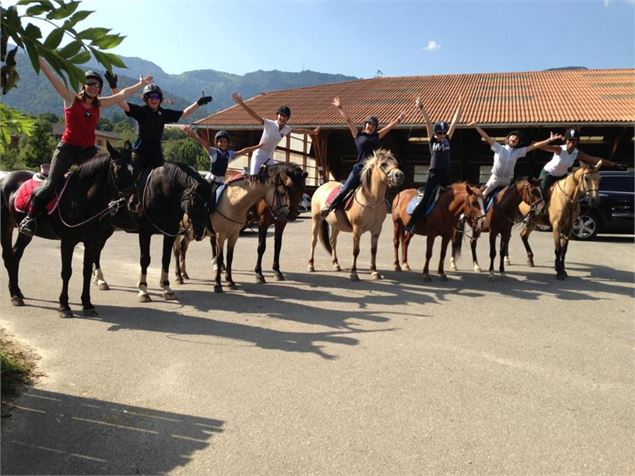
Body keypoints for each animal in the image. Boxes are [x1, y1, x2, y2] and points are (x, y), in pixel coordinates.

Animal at [0, 142, 135, 320]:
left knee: (16, 255)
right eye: (119, 169)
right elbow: (66, 272)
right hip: (5, 227)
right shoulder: (68, 242)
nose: (132, 202)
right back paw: (14, 296)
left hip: (24, 233)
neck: (81, 198)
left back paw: (18, 292)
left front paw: (87, 304)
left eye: (134, 169)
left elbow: (86, 271)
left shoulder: (90, 242)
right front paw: (64, 306)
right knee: (9, 257)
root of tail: (5, 179)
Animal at [90, 160, 212, 302]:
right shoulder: (145, 232)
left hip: (107, 228)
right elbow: (145, 259)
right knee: (96, 250)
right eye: (196, 201)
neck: (163, 191)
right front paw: (143, 289)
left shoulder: (170, 233)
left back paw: (97, 278)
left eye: (209, 204)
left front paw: (166, 288)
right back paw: (100, 279)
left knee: (96, 250)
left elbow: (166, 259)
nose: (201, 232)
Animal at [310, 149, 408, 280]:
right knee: (314, 241)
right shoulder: (357, 229)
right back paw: (311, 265)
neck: (370, 200)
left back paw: (336, 264)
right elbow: (356, 251)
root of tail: (321, 187)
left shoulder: (377, 230)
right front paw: (354, 273)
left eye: (396, 163)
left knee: (333, 242)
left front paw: (374, 271)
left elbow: (373, 250)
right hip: (316, 219)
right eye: (383, 164)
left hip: (336, 224)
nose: (400, 175)